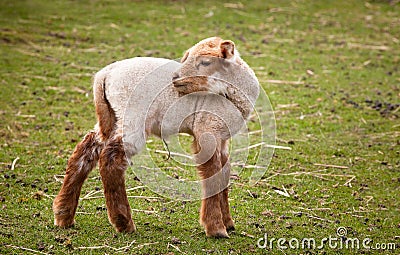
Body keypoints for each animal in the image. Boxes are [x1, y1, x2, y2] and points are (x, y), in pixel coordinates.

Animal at [52, 35, 260, 237]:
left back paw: (64, 215)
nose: (175, 77)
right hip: (132, 116)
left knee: (85, 151)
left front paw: (229, 223)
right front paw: (216, 228)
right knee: (111, 159)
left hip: (112, 116)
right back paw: (123, 223)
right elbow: (213, 174)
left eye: (206, 62)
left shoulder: (222, 136)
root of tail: (106, 74)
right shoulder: (207, 128)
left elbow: (224, 174)